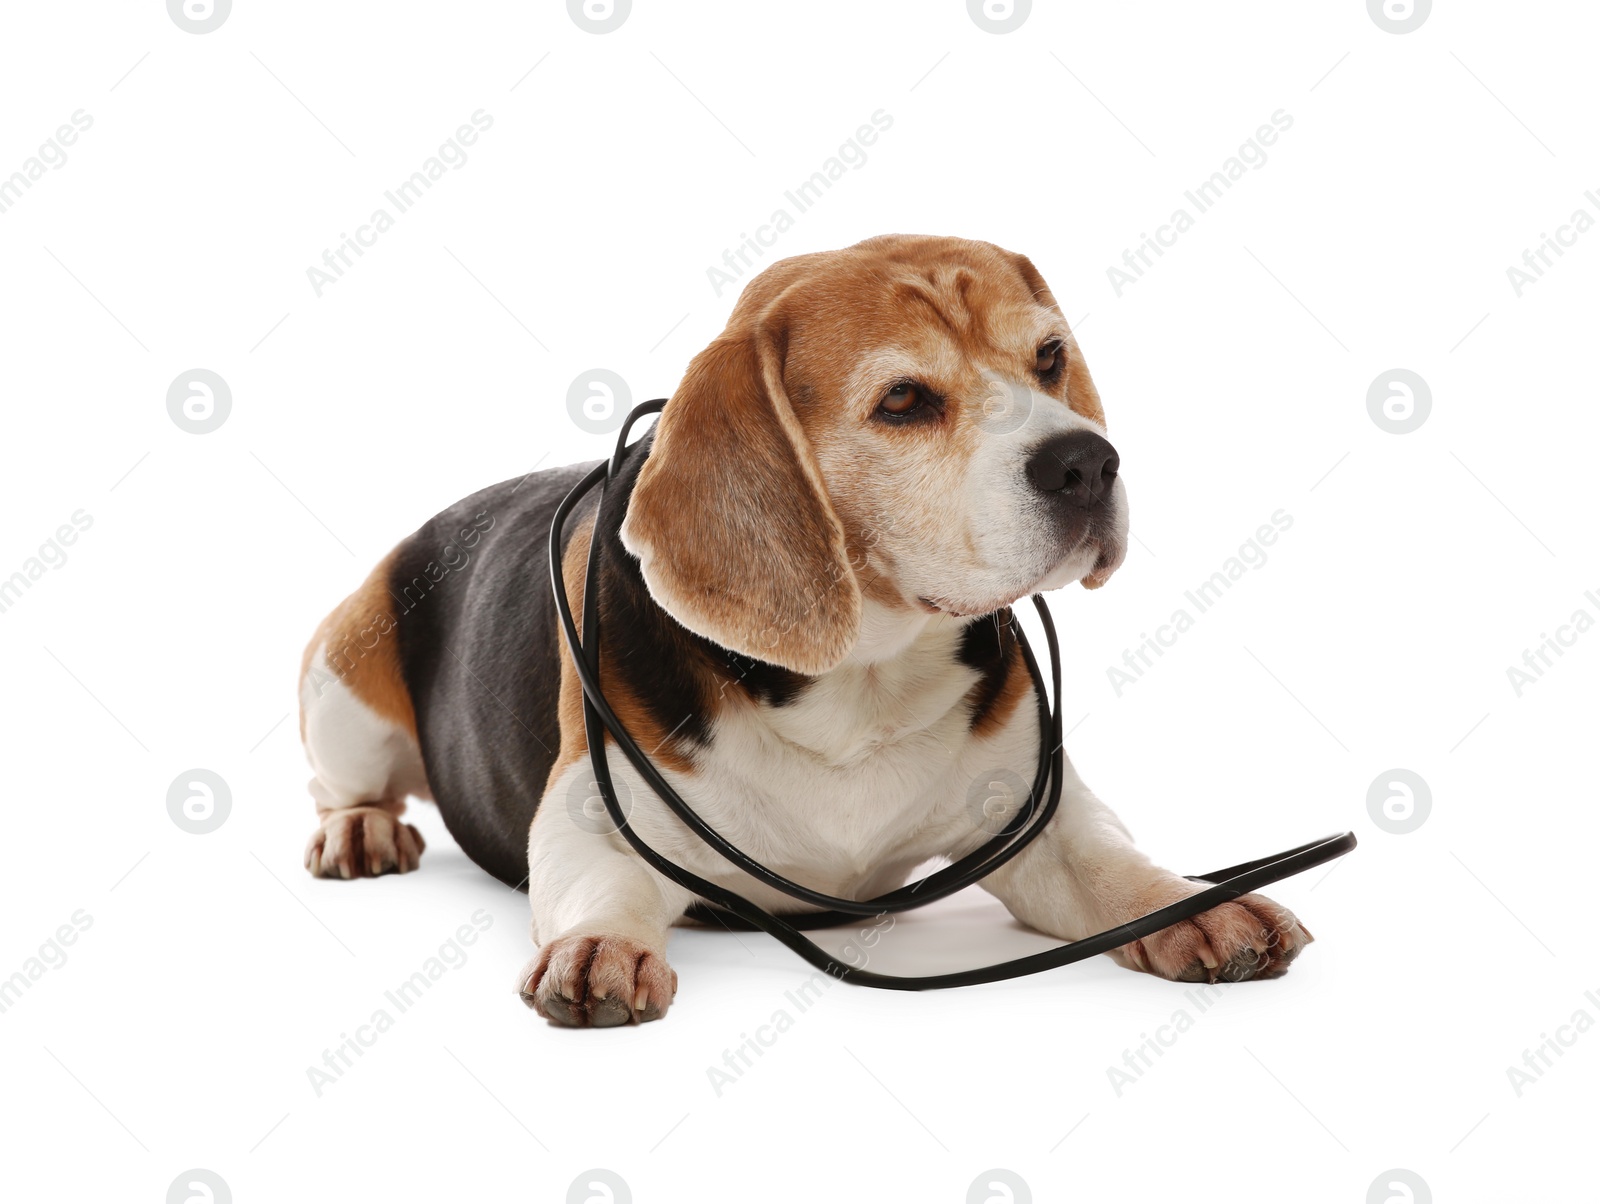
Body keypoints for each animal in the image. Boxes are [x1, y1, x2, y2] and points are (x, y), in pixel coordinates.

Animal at [297, 232, 1312, 1024]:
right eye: (903, 400)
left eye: (1049, 357)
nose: (1089, 463)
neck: (861, 679)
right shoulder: (592, 822)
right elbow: (602, 885)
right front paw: (602, 946)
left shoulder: (1042, 819)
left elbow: (1112, 865)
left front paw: (1192, 904)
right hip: (343, 679)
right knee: (342, 785)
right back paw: (361, 831)